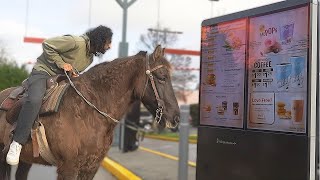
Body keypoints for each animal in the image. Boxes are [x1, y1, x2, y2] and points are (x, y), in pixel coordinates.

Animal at [0, 45, 181, 179]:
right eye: (162, 77)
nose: (176, 117)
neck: (88, 111)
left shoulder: (91, 167)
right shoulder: (68, 167)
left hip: (26, 160)